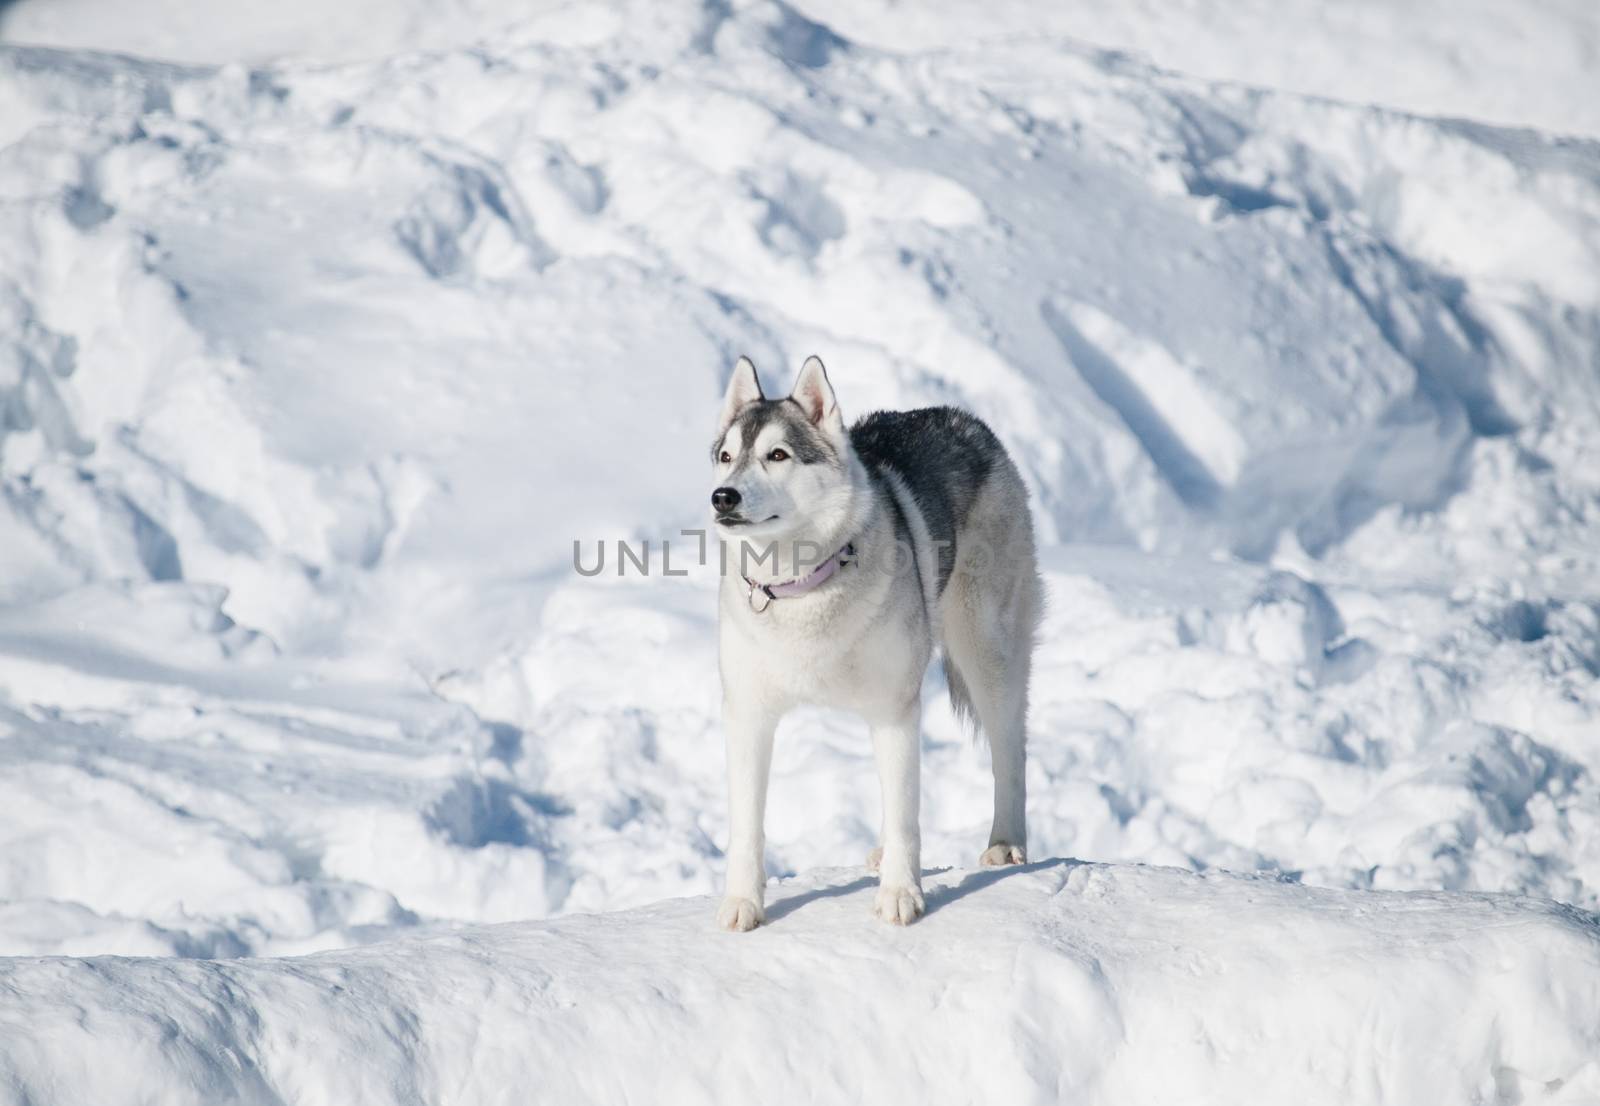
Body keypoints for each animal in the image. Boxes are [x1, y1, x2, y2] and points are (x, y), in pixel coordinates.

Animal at [710, 356, 1036, 928]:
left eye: (777, 455)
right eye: (727, 457)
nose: (723, 497)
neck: (802, 587)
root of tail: (965, 420)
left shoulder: (895, 709)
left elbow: (906, 815)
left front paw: (901, 896)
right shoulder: (748, 714)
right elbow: (747, 827)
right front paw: (743, 905)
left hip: (987, 656)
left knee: (1009, 752)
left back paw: (1005, 844)